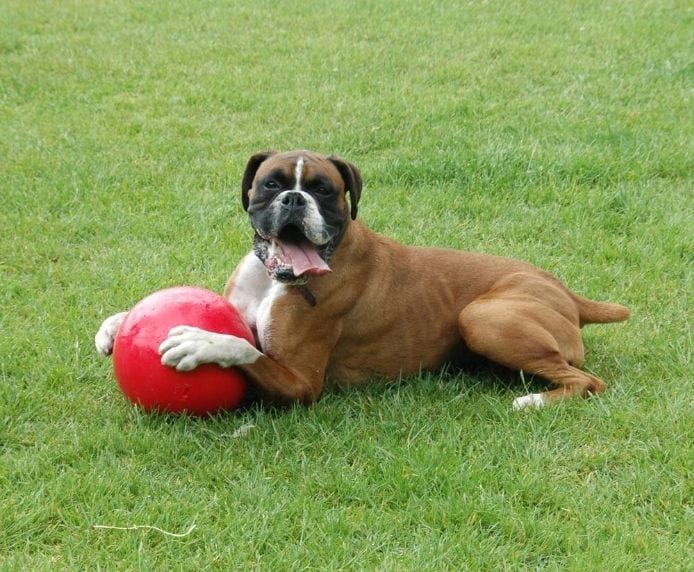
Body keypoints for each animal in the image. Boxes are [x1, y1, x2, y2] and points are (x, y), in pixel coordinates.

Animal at [95, 147, 632, 406]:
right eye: (271, 184)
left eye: (324, 190)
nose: (295, 199)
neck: (276, 278)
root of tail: (567, 292)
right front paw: (118, 322)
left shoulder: (302, 384)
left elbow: (244, 349)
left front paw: (202, 342)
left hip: (482, 317)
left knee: (588, 382)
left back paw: (532, 401)